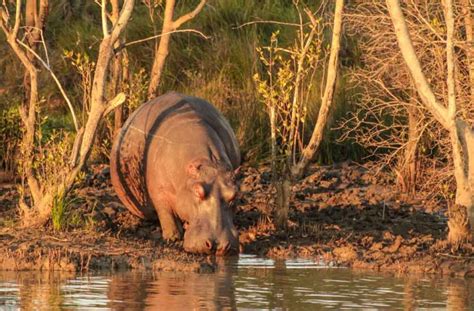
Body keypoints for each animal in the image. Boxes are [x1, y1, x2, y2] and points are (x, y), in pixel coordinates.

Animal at [109, 92, 239, 256]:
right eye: (198, 191)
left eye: (234, 194)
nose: (218, 245)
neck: (209, 163)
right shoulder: (160, 192)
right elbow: (166, 215)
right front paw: (173, 238)